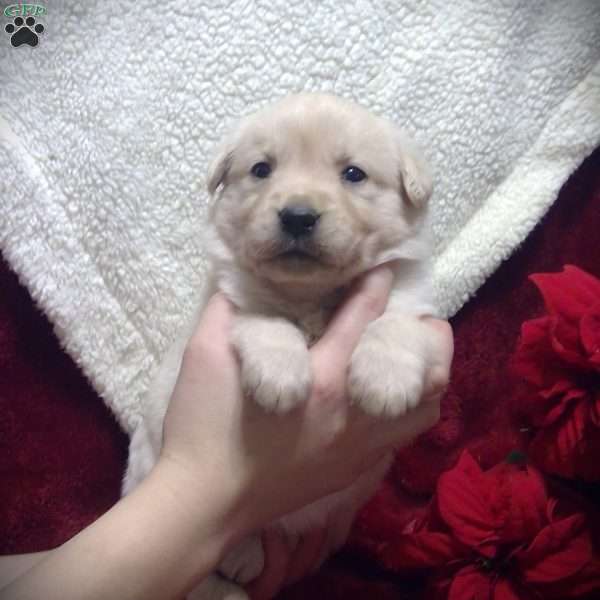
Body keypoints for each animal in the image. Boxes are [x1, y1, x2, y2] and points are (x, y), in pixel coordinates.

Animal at [124, 94, 438, 600]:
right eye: (261, 169)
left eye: (353, 173)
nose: (297, 216)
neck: (311, 293)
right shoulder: (234, 299)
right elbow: (270, 321)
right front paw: (282, 378)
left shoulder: (416, 304)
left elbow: (394, 325)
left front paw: (384, 384)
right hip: (147, 461)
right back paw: (241, 555)